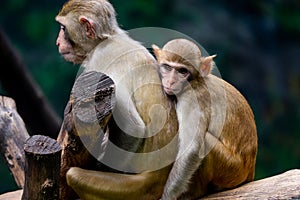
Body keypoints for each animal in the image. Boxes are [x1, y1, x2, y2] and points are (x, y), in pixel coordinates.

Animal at [55, 0, 178, 200]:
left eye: (63, 28)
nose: (58, 42)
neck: (106, 39)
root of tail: (159, 178)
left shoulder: (99, 61)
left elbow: (133, 127)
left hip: (133, 189)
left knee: (73, 175)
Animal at [152, 38, 258, 199]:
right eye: (167, 67)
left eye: (182, 71)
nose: (170, 81)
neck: (195, 81)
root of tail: (249, 172)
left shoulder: (191, 99)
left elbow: (192, 148)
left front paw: (167, 196)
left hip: (232, 170)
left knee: (206, 142)